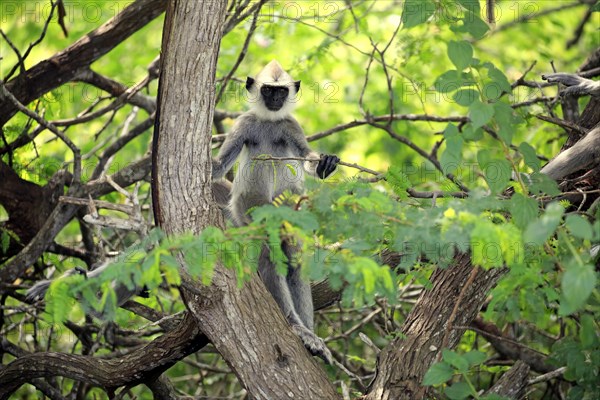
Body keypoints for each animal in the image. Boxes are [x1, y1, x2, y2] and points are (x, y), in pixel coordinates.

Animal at [213, 60, 340, 362]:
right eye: (268, 90)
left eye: (281, 91)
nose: (274, 100)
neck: (270, 122)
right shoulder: (245, 123)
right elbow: (219, 167)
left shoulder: (290, 125)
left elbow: (306, 157)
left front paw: (325, 164)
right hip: (250, 207)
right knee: (270, 255)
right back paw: (296, 326)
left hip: (288, 209)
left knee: (293, 260)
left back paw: (308, 334)